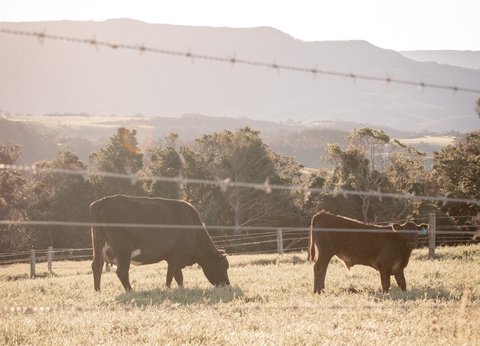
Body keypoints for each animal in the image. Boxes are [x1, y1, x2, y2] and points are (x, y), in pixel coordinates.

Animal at [92, 196, 232, 290]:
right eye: (224, 266)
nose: (227, 284)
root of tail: (103, 201)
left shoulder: (172, 258)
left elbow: (178, 276)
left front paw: (181, 289)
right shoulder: (175, 255)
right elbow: (171, 275)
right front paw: (168, 289)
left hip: (98, 246)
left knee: (97, 266)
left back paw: (98, 290)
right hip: (124, 250)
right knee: (121, 271)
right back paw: (130, 291)